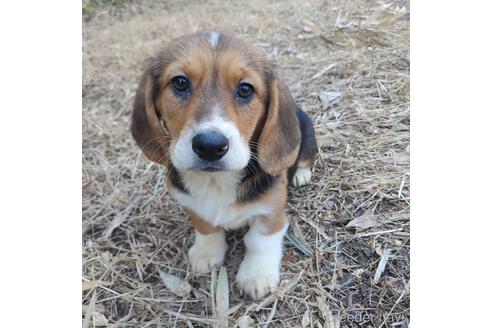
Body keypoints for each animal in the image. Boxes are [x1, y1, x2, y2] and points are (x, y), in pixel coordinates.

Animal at [132, 30, 316, 300]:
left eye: (245, 89)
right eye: (180, 83)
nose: (210, 146)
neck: (215, 181)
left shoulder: (272, 211)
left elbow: (260, 240)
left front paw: (256, 276)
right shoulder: (192, 205)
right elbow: (206, 227)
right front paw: (206, 253)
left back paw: (301, 174)